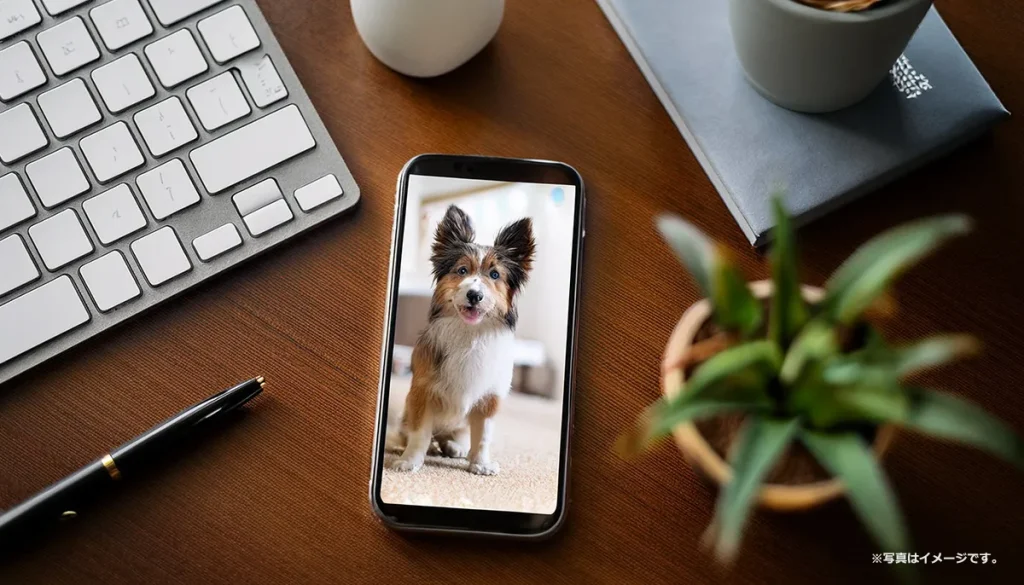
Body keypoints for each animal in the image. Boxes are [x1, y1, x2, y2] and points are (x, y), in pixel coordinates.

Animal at [387, 205, 536, 475]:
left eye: (495, 275)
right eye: (462, 270)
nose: (474, 295)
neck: (470, 333)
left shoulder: (489, 398)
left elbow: (483, 436)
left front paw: (480, 464)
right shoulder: (422, 392)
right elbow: (420, 433)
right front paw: (410, 461)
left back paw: (455, 447)